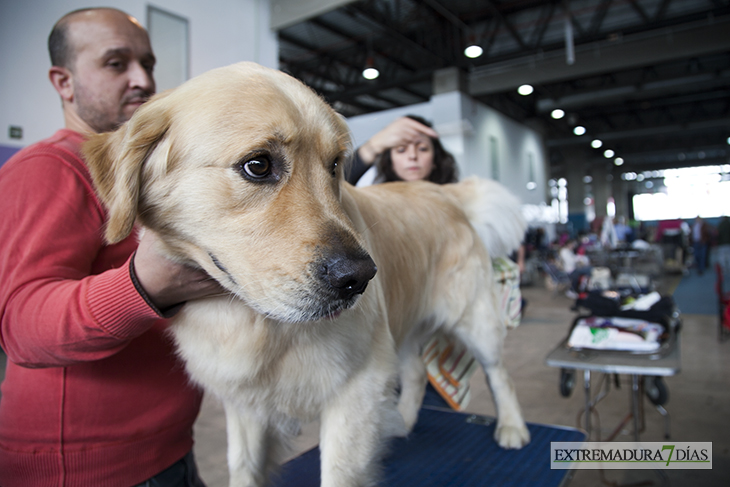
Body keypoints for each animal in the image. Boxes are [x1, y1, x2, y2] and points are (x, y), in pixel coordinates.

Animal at [84, 63, 528, 486]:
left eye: (334, 166)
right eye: (258, 165)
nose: (360, 277)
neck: (253, 320)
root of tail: (443, 193)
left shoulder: (359, 386)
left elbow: (340, 474)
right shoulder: (245, 402)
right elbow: (243, 469)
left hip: (476, 321)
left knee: (499, 373)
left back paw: (512, 427)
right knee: (418, 368)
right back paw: (402, 421)